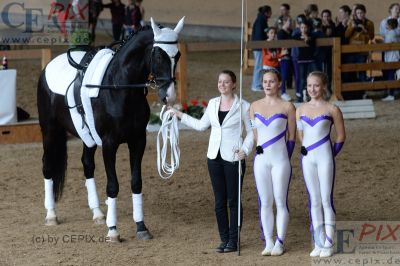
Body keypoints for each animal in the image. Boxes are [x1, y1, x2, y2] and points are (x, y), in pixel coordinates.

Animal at [37, 16, 184, 241]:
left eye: (178, 55)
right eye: (158, 55)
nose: (169, 96)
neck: (120, 88)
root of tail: (47, 67)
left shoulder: (137, 141)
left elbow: (136, 182)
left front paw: (141, 227)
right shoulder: (109, 144)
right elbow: (113, 186)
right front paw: (113, 230)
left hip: (87, 136)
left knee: (87, 165)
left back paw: (98, 213)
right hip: (50, 131)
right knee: (48, 167)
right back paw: (51, 215)